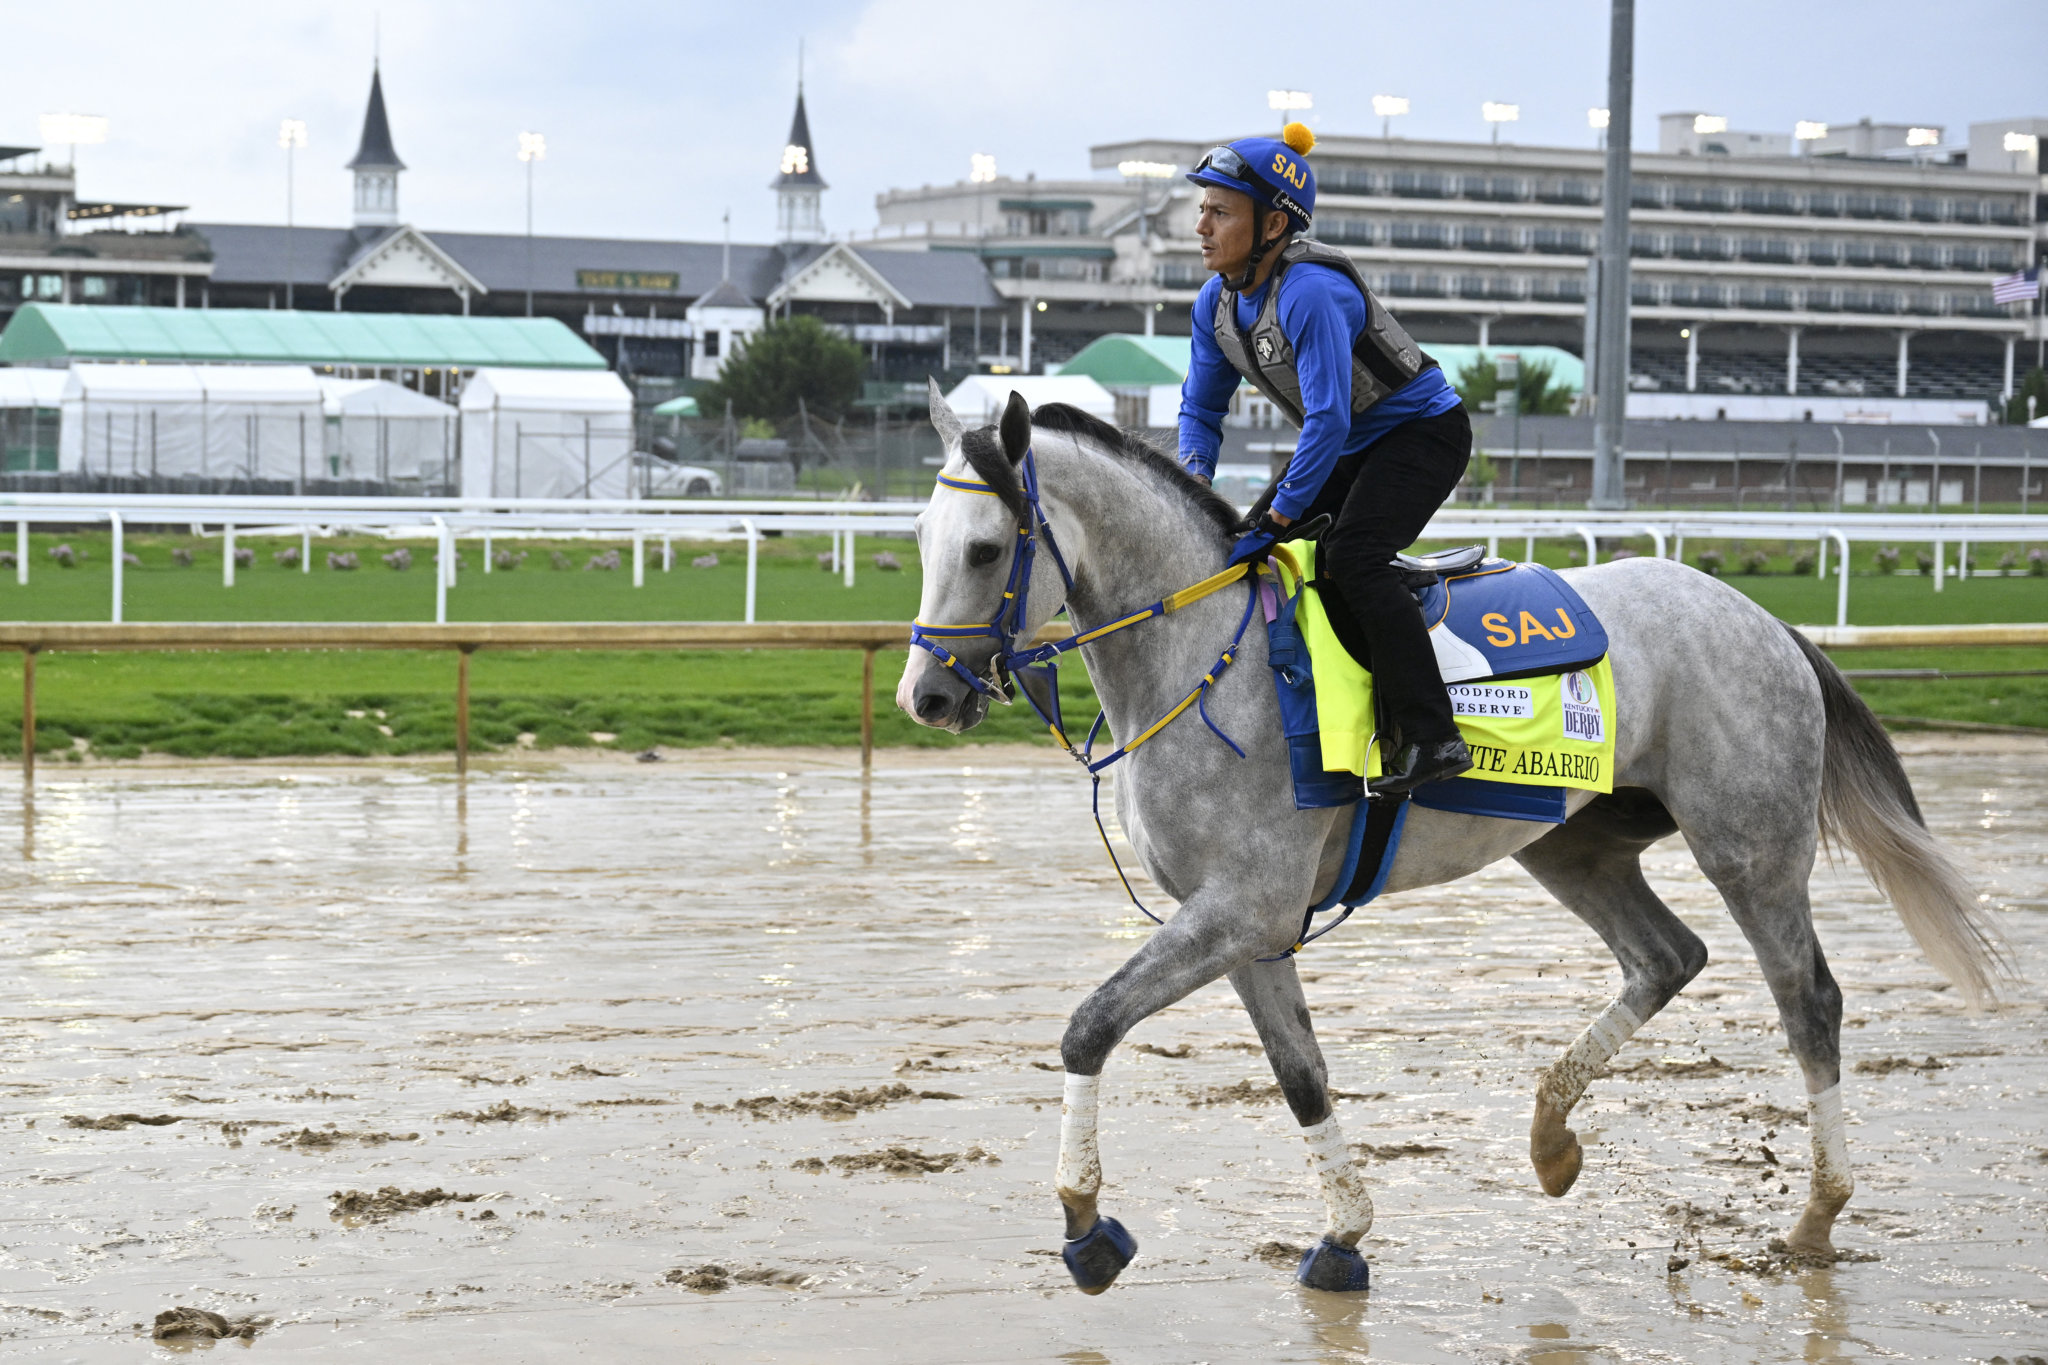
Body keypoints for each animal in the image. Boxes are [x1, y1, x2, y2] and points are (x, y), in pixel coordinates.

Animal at [905, 382, 2007, 1293]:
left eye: (985, 549)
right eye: (920, 537)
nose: (927, 698)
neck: (1206, 656)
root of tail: (1765, 620)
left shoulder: (1238, 909)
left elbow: (1088, 1026)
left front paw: (1085, 1223)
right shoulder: (1245, 926)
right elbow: (1299, 1074)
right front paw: (1343, 1235)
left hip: (1749, 849)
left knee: (1805, 1000)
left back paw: (1817, 1217)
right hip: (1569, 844)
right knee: (1666, 956)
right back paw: (1551, 1140)